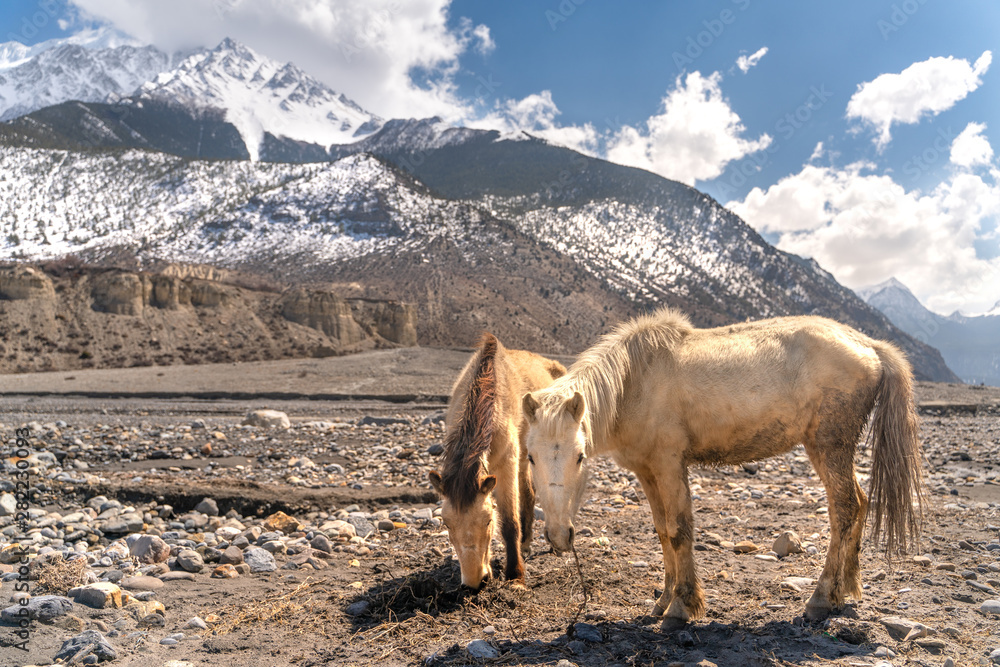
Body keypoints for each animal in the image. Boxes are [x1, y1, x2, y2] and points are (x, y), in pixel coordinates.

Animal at [429, 333, 566, 590]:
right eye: (447, 524)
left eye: (488, 521)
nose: (475, 582)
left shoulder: (506, 465)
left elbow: (510, 522)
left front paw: (515, 575)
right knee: (528, 492)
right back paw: (526, 543)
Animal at [521, 307, 923, 626]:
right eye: (530, 456)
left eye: (579, 456)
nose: (558, 536)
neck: (634, 382)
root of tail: (870, 346)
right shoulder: (647, 471)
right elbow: (662, 532)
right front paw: (664, 600)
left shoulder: (670, 464)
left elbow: (679, 530)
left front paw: (681, 608)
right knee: (861, 503)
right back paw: (849, 589)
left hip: (829, 446)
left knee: (845, 509)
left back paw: (822, 599)